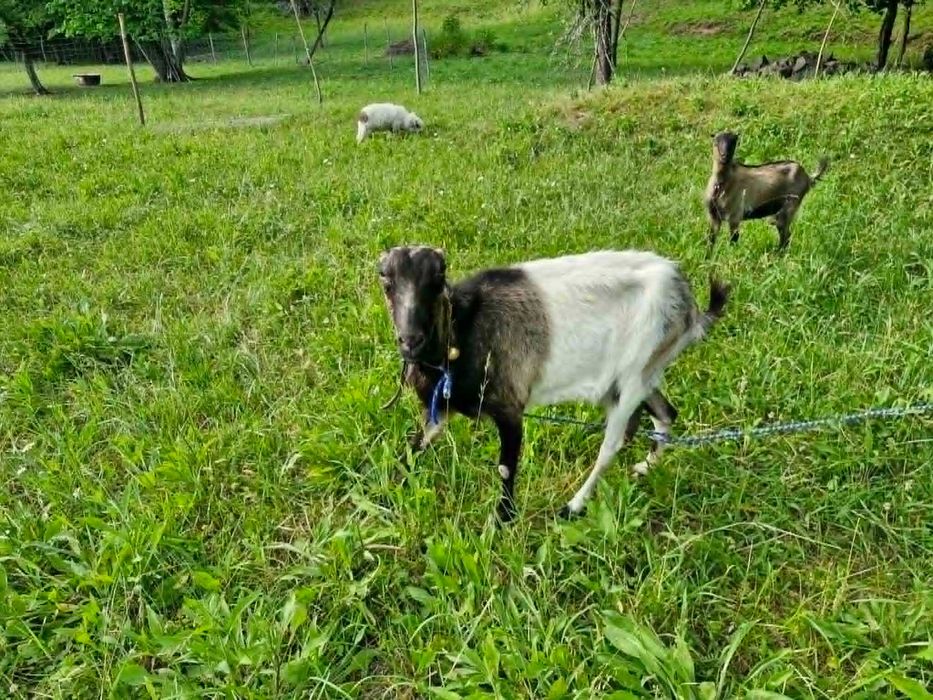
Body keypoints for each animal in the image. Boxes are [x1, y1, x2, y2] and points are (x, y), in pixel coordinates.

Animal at [377, 246, 730, 522]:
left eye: (437, 279)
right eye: (386, 281)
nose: (411, 340)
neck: (463, 330)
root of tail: (689, 305)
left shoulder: (510, 407)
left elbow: (505, 468)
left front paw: (502, 522)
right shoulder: (441, 409)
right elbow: (415, 445)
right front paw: (384, 495)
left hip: (635, 373)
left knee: (612, 444)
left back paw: (573, 506)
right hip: (630, 379)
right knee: (666, 413)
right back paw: (644, 468)